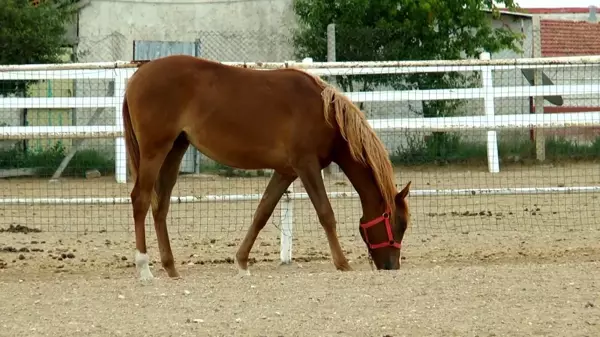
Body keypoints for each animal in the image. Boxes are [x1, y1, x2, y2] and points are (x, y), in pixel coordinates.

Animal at [122, 54, 412, 280]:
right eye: (399, 224)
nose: (391, 267)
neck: (324, 114)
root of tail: (136, 78)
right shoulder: (307, 166)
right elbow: (325, 213)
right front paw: (343, 264)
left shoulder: (286, 172)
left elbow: (262, 213)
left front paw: (241, 262)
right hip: (155, 151)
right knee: (141, 200)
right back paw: (144, 268)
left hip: (175, 150)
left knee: (161, 205)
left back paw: (171, 268)